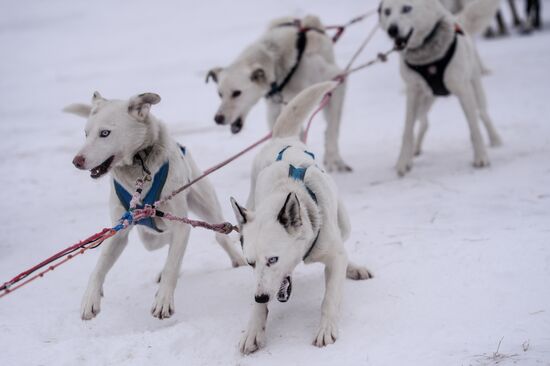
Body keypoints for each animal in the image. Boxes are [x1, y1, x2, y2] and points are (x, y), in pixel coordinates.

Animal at [64, 92, 246, 320]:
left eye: (104, 133)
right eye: (86, 134)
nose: (76, 161)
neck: (138, 166)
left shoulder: (179, 225)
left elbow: (171, 265)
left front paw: (163, 300)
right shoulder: (118, 230)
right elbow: (99, 267)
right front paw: (91, 298)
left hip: (205, 204)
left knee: (218, 235)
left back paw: (237, 257)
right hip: (150, 236)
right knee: (164, 240)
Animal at [207, 15, 354, 172]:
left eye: (236, 93)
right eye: (220, 94)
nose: (218, 118)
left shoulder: (337, 82)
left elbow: (332, 130)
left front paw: (334, 160)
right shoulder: (275, 110)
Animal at [231, 81, 374, 354]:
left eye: (273, 259)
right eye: (250, 262)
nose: (261, 297)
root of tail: (281, 138)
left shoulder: (333, 255)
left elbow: (330, 297)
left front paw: (326, 328)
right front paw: (254, 327)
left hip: (344, 222)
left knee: (344, 248)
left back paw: (353, 267)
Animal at [380, 0, 504, 176]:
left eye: (406, 8)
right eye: (387, 12)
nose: (392, 30)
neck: (427, 57)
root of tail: (458, 19)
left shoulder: (463, 90)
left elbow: (474, 127)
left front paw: (481, 157)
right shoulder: (412, 92)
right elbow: (407, 131)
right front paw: (403, 162)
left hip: (476, 88)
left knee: (482, 114)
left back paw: (495, 139)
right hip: (424, 100)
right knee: (423, 122)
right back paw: (414, 150)